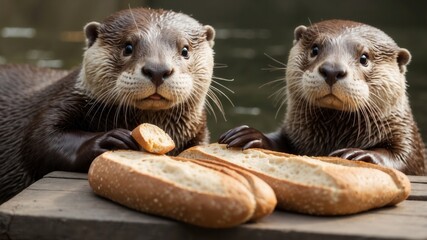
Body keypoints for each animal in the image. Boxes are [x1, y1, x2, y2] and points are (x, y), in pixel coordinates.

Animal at [0, 7, 217, 202]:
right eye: (128, 47)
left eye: (185, 50)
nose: (157, 70)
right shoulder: (60, 102)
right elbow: (39, 141)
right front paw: (109, 140)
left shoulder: (200, 131)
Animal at [222, 19, 426, 175]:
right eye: (315, 49)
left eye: (364, 58)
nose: (332, 70)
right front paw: (250, 135)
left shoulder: (410, 143)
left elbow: (402, 158)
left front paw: (361, 155)